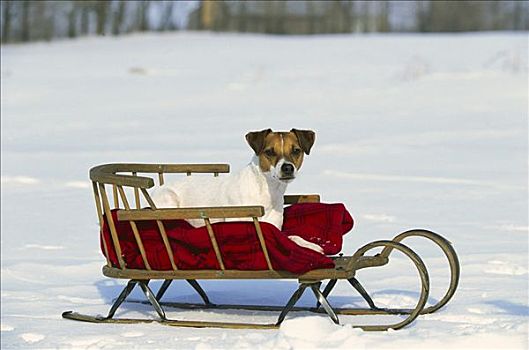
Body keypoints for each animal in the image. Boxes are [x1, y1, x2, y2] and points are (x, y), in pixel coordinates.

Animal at [152, 127, 322, 253]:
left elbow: (292, 237)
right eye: (269, 151)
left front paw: (311, 245)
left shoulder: (274, 228)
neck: (266, 192)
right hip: (169, 198)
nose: (287, 168)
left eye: (296, 150)